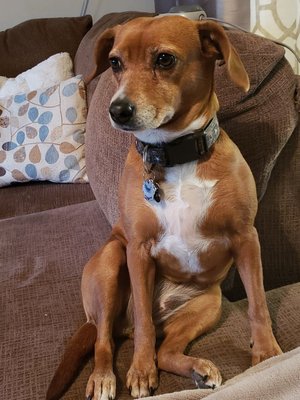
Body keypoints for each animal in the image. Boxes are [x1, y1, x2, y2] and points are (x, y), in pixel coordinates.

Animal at [46, 15, 282, 400]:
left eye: (164, 59)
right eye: (115, 63)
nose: (117, 110)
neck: (174, 154)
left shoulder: (246, 237)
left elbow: (258, 303)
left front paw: (267, 354)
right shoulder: (139, 251)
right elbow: (143, 320)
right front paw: (141, 371)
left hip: (208, 304)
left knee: (166, 350)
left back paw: (199, 368)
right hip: (111, 262)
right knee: (105, 340)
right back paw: (104, 376)